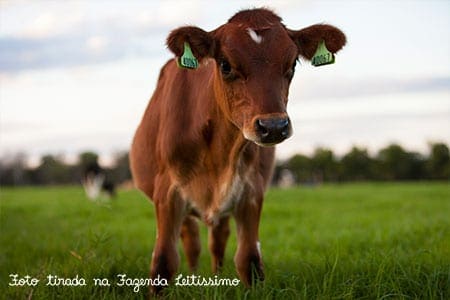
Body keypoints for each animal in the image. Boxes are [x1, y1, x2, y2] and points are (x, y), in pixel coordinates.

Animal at [130, 8, 344, 292]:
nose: (273, 126)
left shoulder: (252, 192)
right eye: (225, 65)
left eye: (293, 64)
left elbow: (249, 259)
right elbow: (164, 261)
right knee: (192, 240)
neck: (220, 154)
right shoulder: (167, 193)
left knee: (217, 239)